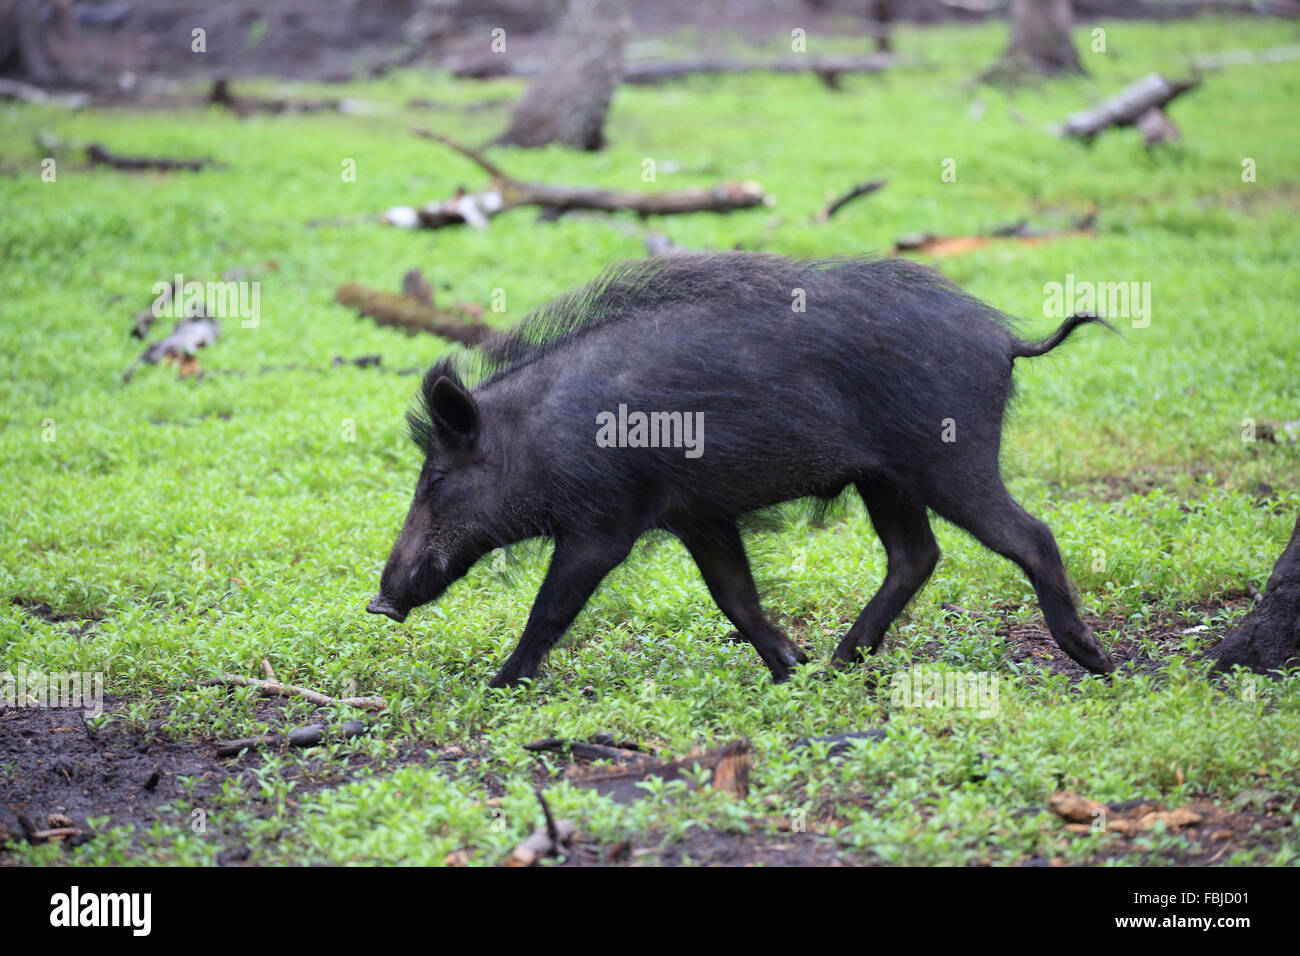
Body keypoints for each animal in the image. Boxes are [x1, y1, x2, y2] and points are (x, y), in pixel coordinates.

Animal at [366, 253, 1117, 687]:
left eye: (437, 479)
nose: (379, 603)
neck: (538, 436)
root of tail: (1008, 340)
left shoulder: (605, 523)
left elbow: (551, 607)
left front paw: (499, 686)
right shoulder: (698, 516)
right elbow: (735, 596)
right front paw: (792, 668)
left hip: (950, 460)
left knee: (1031, 534)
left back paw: (1096, 661)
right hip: (887, 479)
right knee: (916, 555)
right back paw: (838, 664)